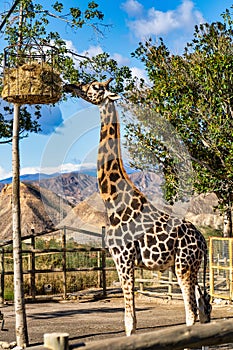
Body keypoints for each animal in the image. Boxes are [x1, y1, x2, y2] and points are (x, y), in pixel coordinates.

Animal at [63, 78, 211, 336]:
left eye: (95, 86)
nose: (70, 86)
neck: (112, 202)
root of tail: (202, 241)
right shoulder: (123, 260)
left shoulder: (123, 258)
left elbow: (130, 321)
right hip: (188, 266)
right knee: (202, 309)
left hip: (183, 265)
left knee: (191, 313)